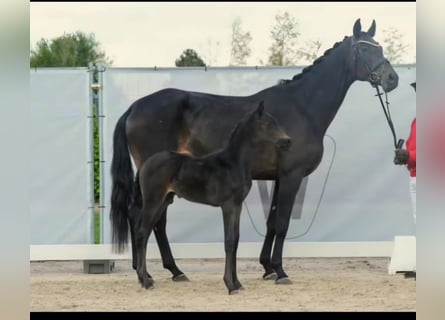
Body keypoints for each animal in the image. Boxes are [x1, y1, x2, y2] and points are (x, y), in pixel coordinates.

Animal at [134, 101, 290, 294]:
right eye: (268, 124)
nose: (288, 140)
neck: (234, 163)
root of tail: (145, 164)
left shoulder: (237, 205)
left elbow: (235, 240)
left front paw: (238, 283)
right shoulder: (228, 205)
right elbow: (229, 241)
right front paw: (230, 285)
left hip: (163, 201)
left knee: (146, 232)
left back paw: (145, 279)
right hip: (153, 201)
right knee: (142, 233)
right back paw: (146, 282)